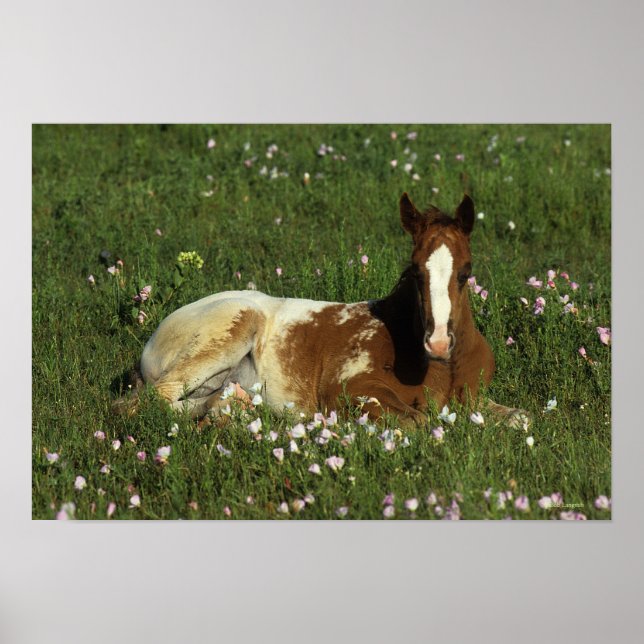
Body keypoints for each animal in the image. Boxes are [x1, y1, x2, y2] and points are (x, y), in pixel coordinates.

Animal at [114, 193, 527, 428]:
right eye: (414, 270)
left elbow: (521, 418)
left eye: (466, 272)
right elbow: (418, 422)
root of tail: (154, 338)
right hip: (234, 325)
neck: (441, 368)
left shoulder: (474, 398)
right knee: (148, 401)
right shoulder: (347, 389)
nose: (438, 342)